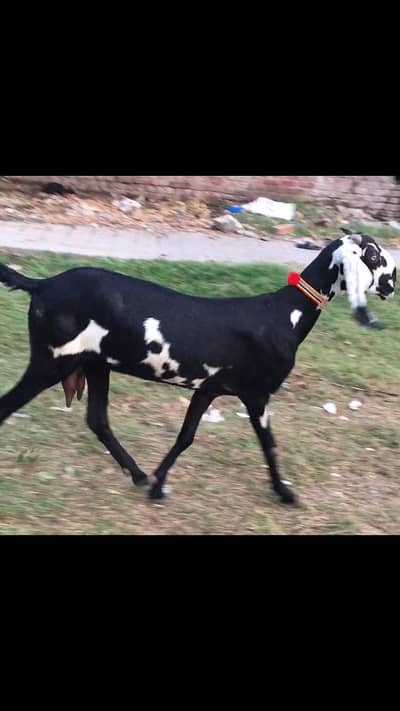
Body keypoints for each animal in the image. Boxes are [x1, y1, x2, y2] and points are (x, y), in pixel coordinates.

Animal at [0, 232, 396, 505]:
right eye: (373, 254)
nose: (393, 281)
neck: (284, 314)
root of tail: (43, 284)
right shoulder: (257, 396)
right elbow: (269, 445)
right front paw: (285, 493)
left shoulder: (208, 390)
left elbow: (185, 437)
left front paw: (158, 483)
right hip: (52, 361)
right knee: (8, 406)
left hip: (95, 364)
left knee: (98, 421)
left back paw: (139, 475)